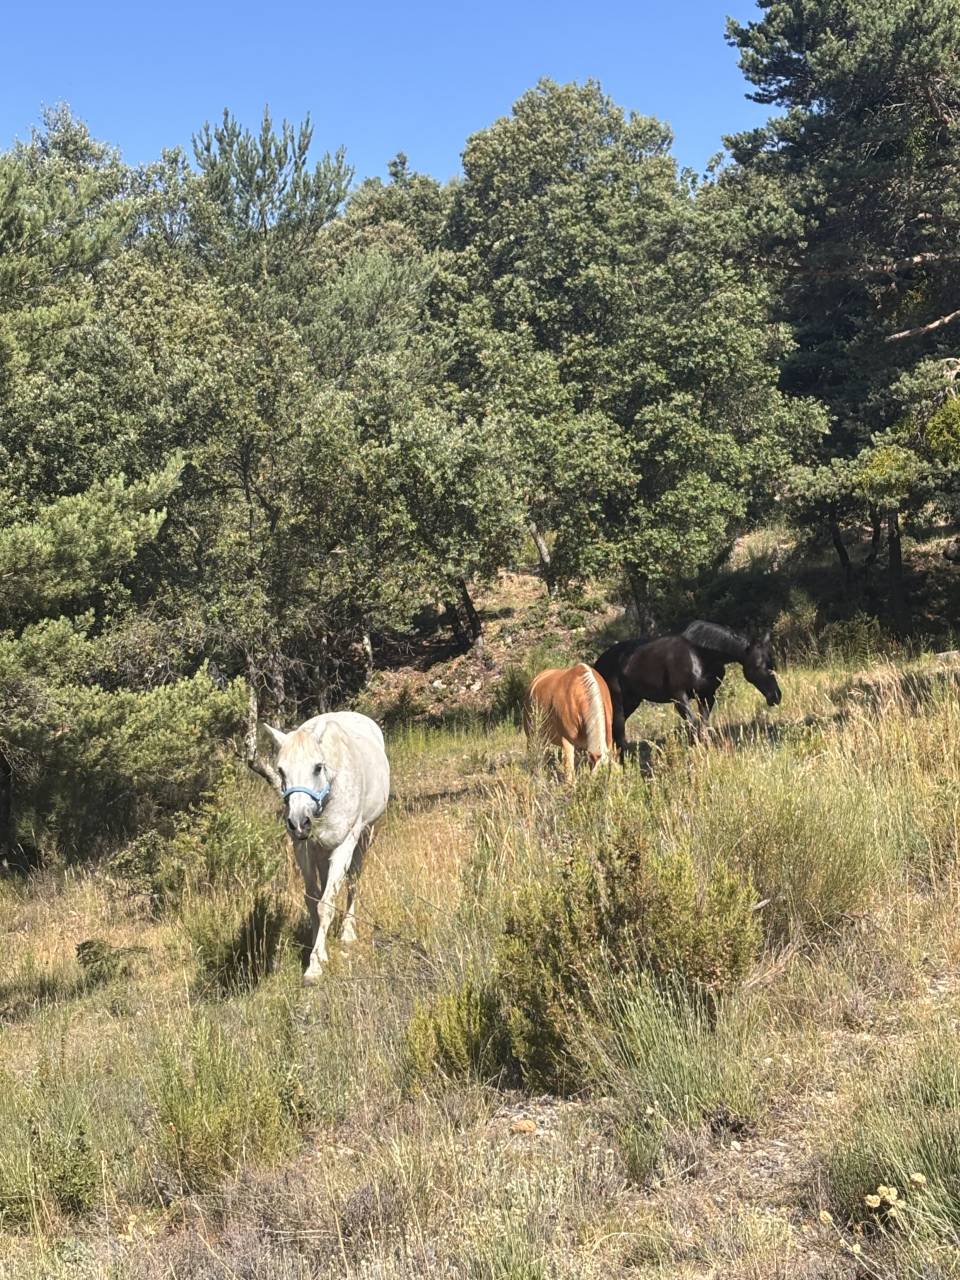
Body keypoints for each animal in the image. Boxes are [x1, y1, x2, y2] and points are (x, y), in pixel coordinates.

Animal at [253, 711, 390, 984]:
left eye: (318, 767)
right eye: (281, 771)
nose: (299, 822)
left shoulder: (345, 844)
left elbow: (326, 903)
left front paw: (314, 967)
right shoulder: (303, 848)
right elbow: (312, 900)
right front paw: (319, 952)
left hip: (365, 836)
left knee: (353, 881)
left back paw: (348, 932)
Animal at [594, 621, 782, 752]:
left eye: (771, 662)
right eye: (758, 665)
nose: (776, 696)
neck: (700, 655)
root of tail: (597, 666)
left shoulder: (707, 696)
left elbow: (703, 725)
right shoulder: (679, 697)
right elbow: (693, 725)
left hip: (632, 701)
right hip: (617, 701)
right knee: (618, 731)